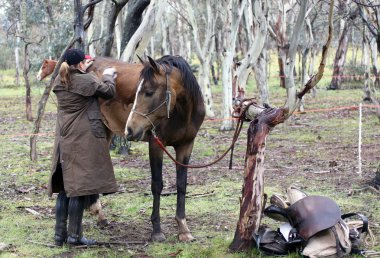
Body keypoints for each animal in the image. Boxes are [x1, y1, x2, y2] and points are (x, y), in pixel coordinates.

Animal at [37, 55, 205, 242]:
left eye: (149, 92)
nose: (130, 129)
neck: (182, 112)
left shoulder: (186, 146)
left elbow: (182, 185)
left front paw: (183, 229)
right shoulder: (156, 145)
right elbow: (157, 185)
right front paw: (157, 230)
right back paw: (97, 212)